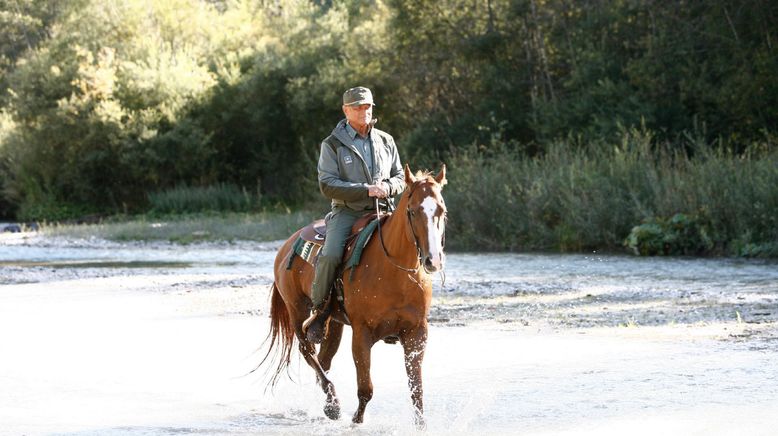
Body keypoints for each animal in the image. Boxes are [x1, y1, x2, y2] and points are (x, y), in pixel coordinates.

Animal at [260, 165, 446, 428]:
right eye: (412, 211)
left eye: (441, 210)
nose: (433, 261)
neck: (395, 272)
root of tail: (287, 244)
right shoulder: (362, 333)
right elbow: (366, 388)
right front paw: (356, 421)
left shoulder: (417, 332)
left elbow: (416, 390)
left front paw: (421, 426)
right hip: (297, 311)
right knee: (308, 352)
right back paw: (333, 406)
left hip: (333, 324)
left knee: (323, 360)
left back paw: (328, 403)